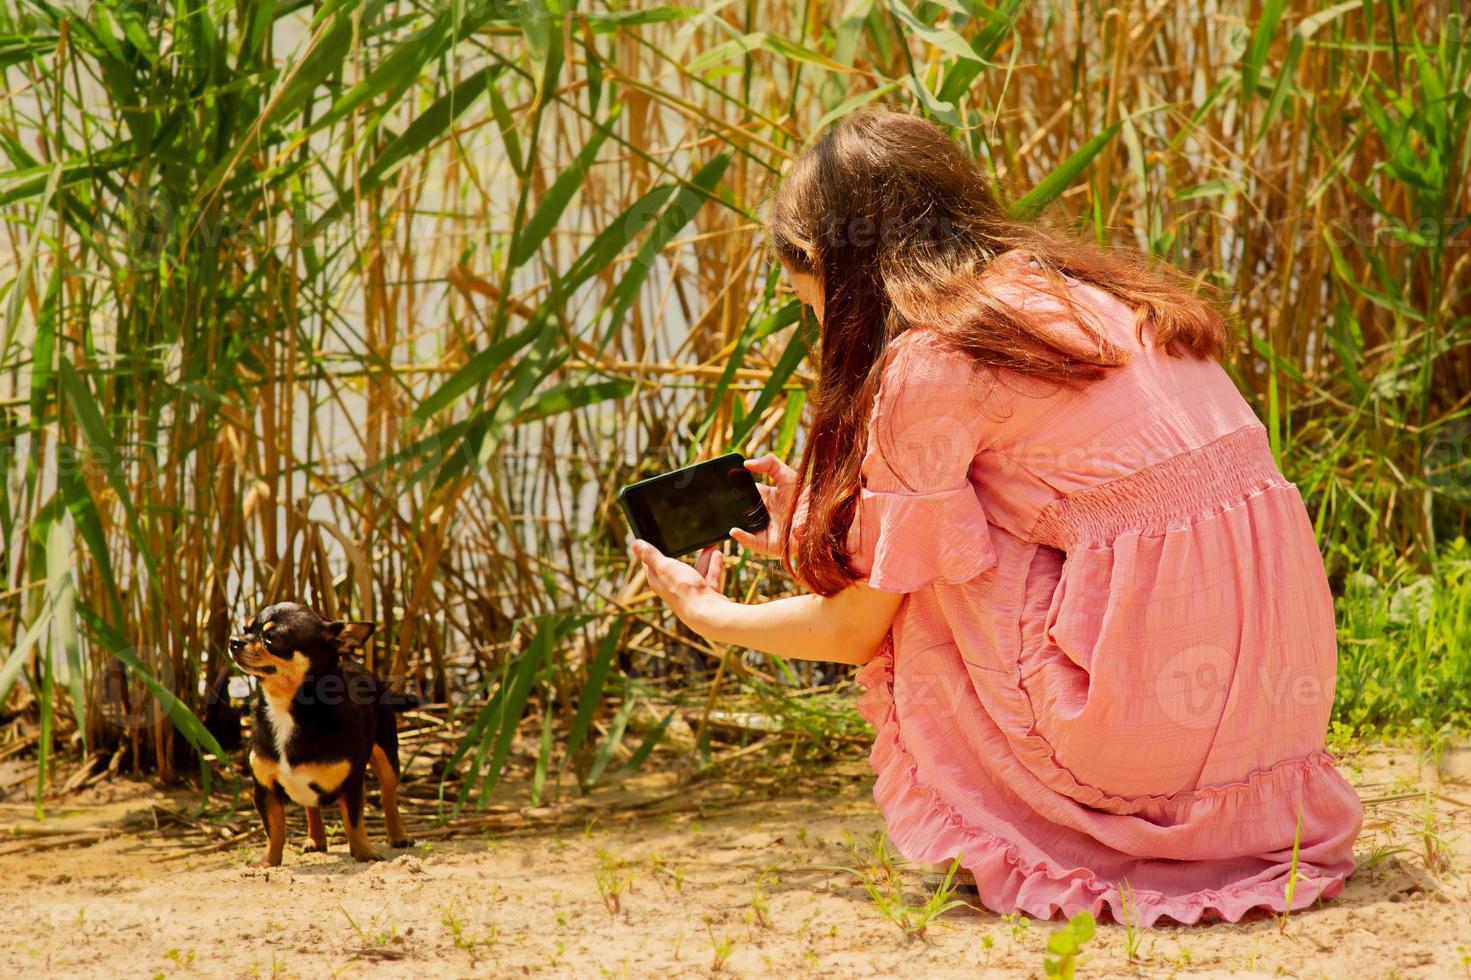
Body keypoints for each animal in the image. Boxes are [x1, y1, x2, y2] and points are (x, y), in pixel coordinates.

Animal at [229, 603, 414, 865]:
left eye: (272, 638)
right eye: (246, 629)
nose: (234, 640)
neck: (285, 707)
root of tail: (357, 664)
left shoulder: (352, 785)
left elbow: (354, 823)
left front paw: (364, 854)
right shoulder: (265, 789)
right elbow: (274, 831)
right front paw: (268, 862)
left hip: (387, 758)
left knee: (388, 796)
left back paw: (398, 835)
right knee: (311, 805)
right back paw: (316, 838)